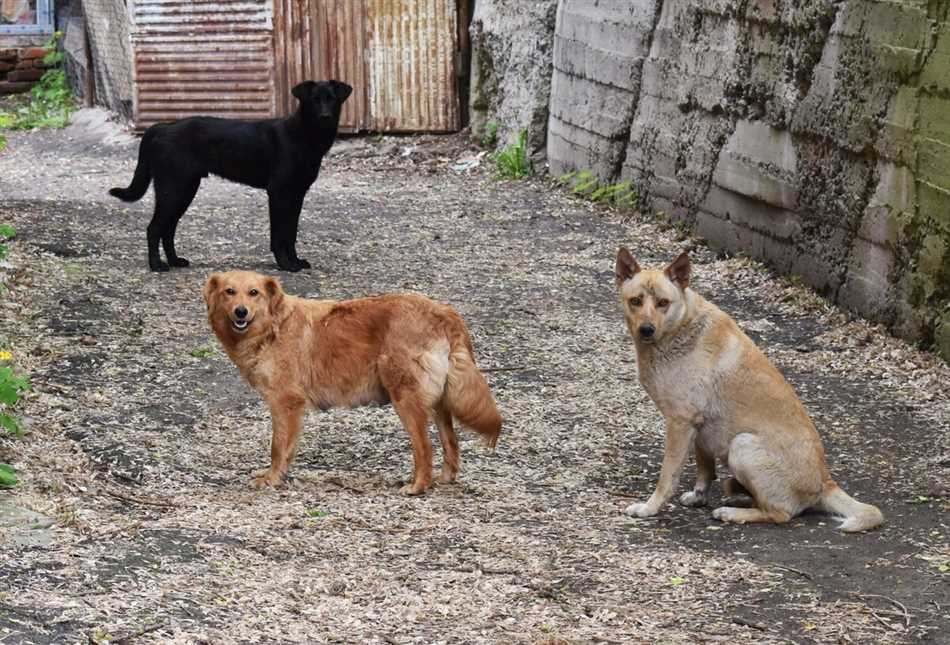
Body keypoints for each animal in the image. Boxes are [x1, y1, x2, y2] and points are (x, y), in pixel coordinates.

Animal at [109, 80, 354, 272]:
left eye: (332, 99)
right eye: (314, 100)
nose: (325, 116)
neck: (303, 136)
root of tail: (161, 127)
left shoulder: (297, 195)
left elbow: (291, 233)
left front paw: (295, 261)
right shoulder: (278, 193)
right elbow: (279, 234)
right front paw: (285, 264)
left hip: (184, 191)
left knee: (168, 229)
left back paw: (175, 261)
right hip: (173, 190)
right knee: (154, 229)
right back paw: (156, 266)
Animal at [204, 268, 502, 494]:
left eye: (254, 293)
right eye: (229, 292)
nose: (240, 312)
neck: (273, 327)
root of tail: (444, 312)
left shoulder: (285, 402)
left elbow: (277, 447)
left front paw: (272, 478)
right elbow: (287, 448)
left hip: (405, 397)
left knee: (424, 447)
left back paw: (418, 486)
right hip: (439, 401)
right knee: (451, 443)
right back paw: (444, 478)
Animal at [616, 249, 884, 532]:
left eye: (663, 303)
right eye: (635, 301)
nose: (646, 329)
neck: (680, 327)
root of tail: (825, 482)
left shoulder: (680, 423)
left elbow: (667, 475)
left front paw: (650, 508)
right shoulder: (699, 428)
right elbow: (704, 467)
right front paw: (699, 496)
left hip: (742, 445)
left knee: (780, 514)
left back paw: (733, 512)